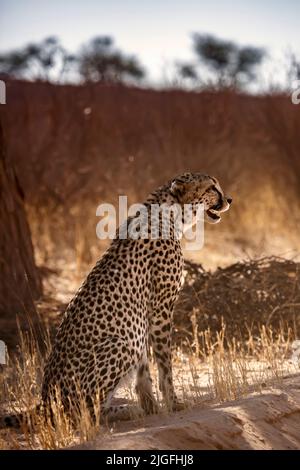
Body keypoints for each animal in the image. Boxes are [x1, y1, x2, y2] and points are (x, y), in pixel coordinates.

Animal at [2, 173, 232, 426]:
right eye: (212, 188)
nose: (229, 199)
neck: (169, 213)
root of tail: (44, 400)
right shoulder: (160, 309)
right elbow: (164, 364)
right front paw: (173, 403)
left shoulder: (142, 321)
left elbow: (145, 370)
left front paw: (151, 406)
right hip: (120, 345)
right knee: (83, 413)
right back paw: (126, 410)